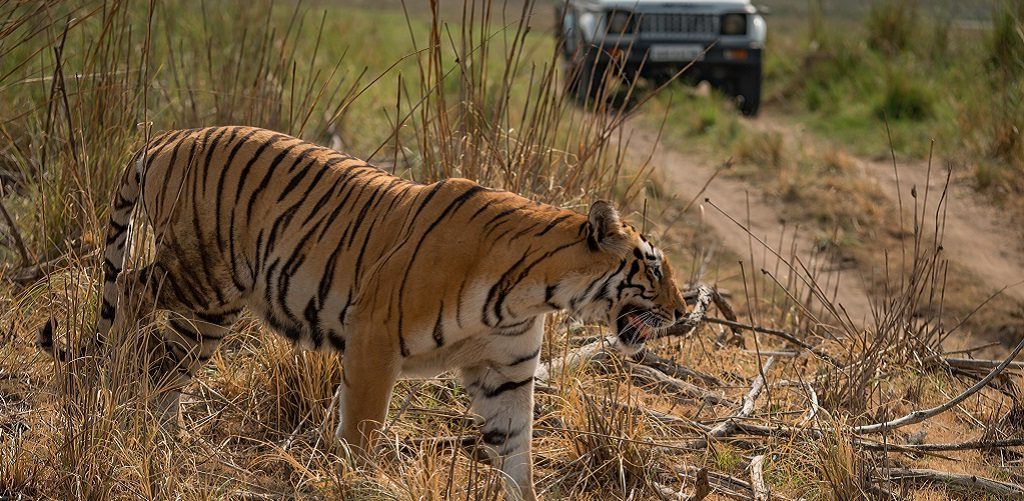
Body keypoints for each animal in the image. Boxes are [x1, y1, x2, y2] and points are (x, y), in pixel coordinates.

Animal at [37, 123, 688, 495]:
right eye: (654, 270)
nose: (686, 315)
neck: (535, 293)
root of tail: (168, 137)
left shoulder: (504, 371)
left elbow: (516, 451)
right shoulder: (375, 337)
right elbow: (362, 429)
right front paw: (350, 479)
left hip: (210, 302)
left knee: (162, 347)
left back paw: (155, 424)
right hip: (205, 279)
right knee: (132, 295)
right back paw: (119, 388)